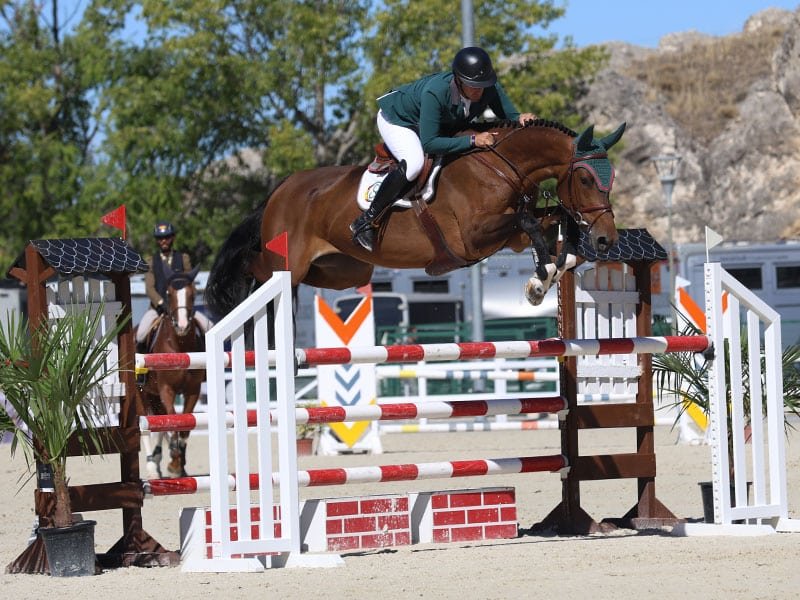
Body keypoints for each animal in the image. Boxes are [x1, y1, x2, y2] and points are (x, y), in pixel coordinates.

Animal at [137, 265, 205, 478]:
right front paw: (174, 462)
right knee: (147, 427)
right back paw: (152, 467)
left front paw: (178, 464)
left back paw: (160, 459)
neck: (179, 344)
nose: (182, 326)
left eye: (193, 294)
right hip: (143, 395)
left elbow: (183, 428)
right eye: (168, 293)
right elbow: (173, 422)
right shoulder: (167, 390)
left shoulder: (193, 391)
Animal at [206, 119, 626, 323]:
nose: (607, 239)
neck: (501, 167)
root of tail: (281, 188)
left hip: (342, 270)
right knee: (258, 265)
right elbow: (529, 223)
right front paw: (542, 275)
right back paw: (232, 292)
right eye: (586, 179)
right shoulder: (472, 238)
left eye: (611, 179)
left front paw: (545, 277)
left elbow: (548, 221)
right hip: (287, 260)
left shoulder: (507, 236)